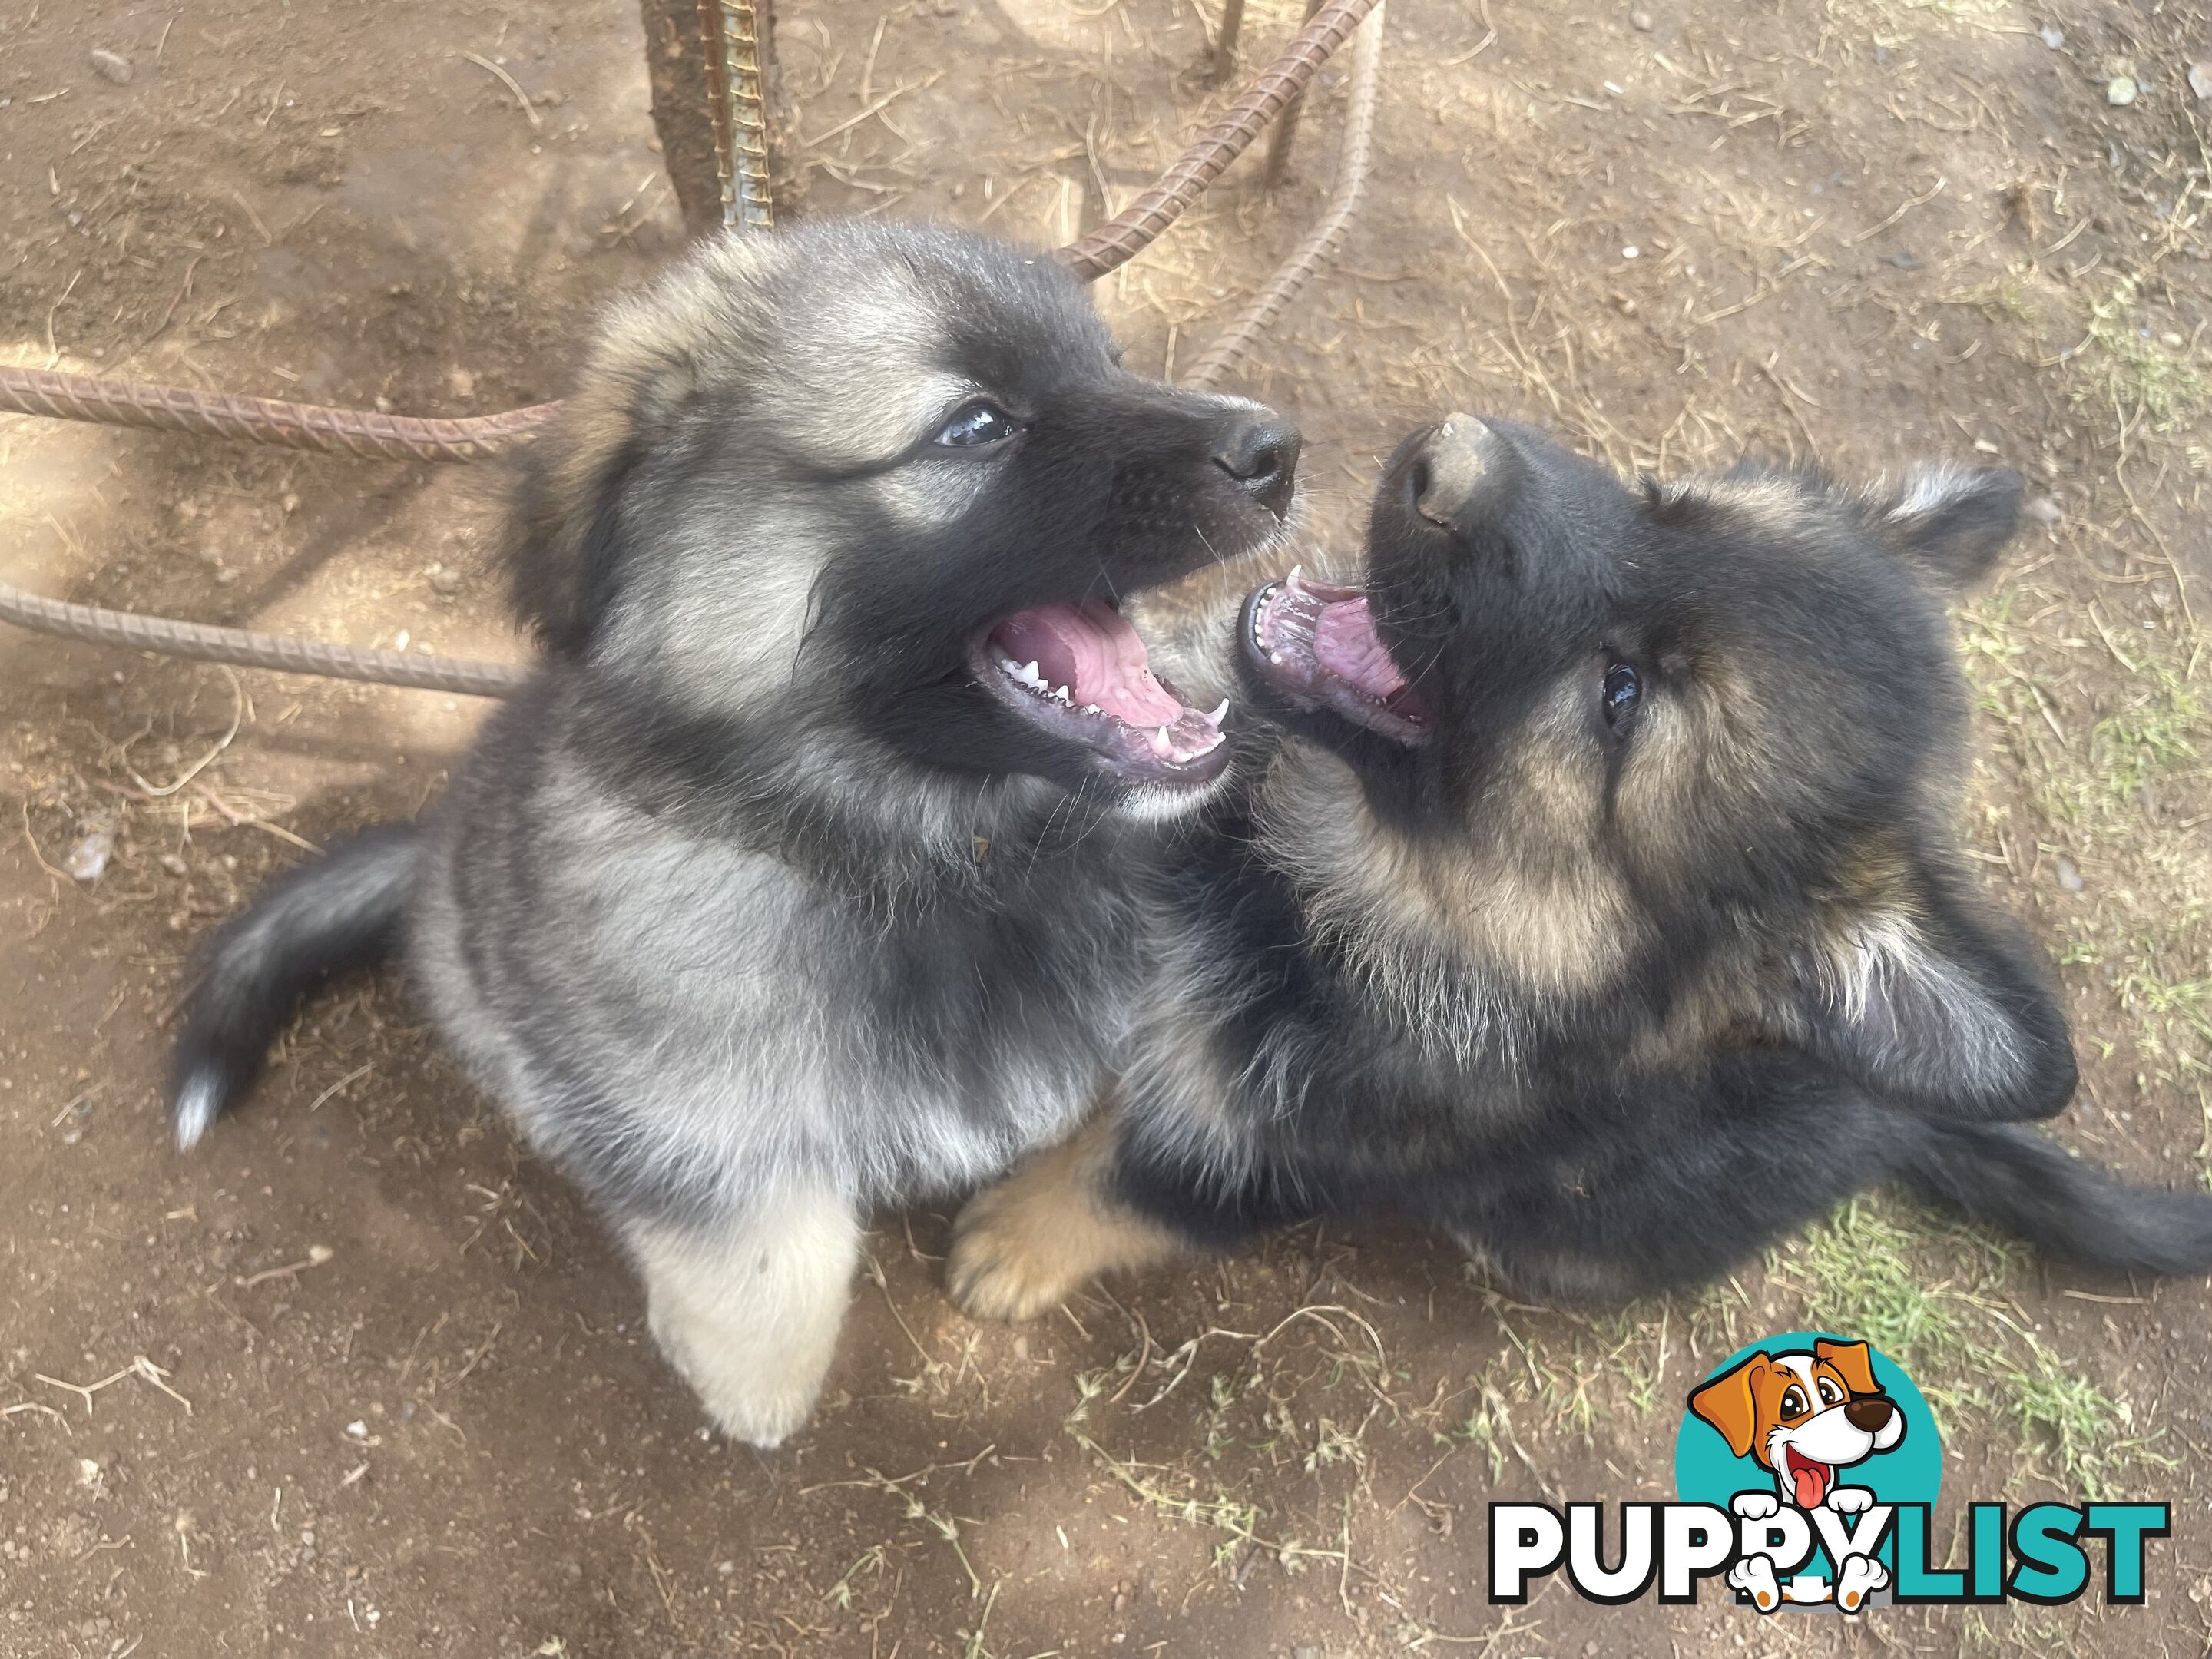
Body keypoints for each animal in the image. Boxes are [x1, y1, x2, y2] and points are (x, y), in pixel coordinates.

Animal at [177, 217, 1309, 1442]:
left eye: (1109, 364)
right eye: (974, 426)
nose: (1278, 449)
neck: (944, 859)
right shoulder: (697, 1120)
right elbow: (769, 1264)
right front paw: (753, 1391)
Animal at [946, 416, 2212, 1327]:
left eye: (1622, 696)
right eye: (1666, 505)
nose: (1446, 449)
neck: (1357, 896)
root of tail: (1904, 1121)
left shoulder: (1280, 1158)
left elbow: (1124, 1187)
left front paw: (1016, 1241)